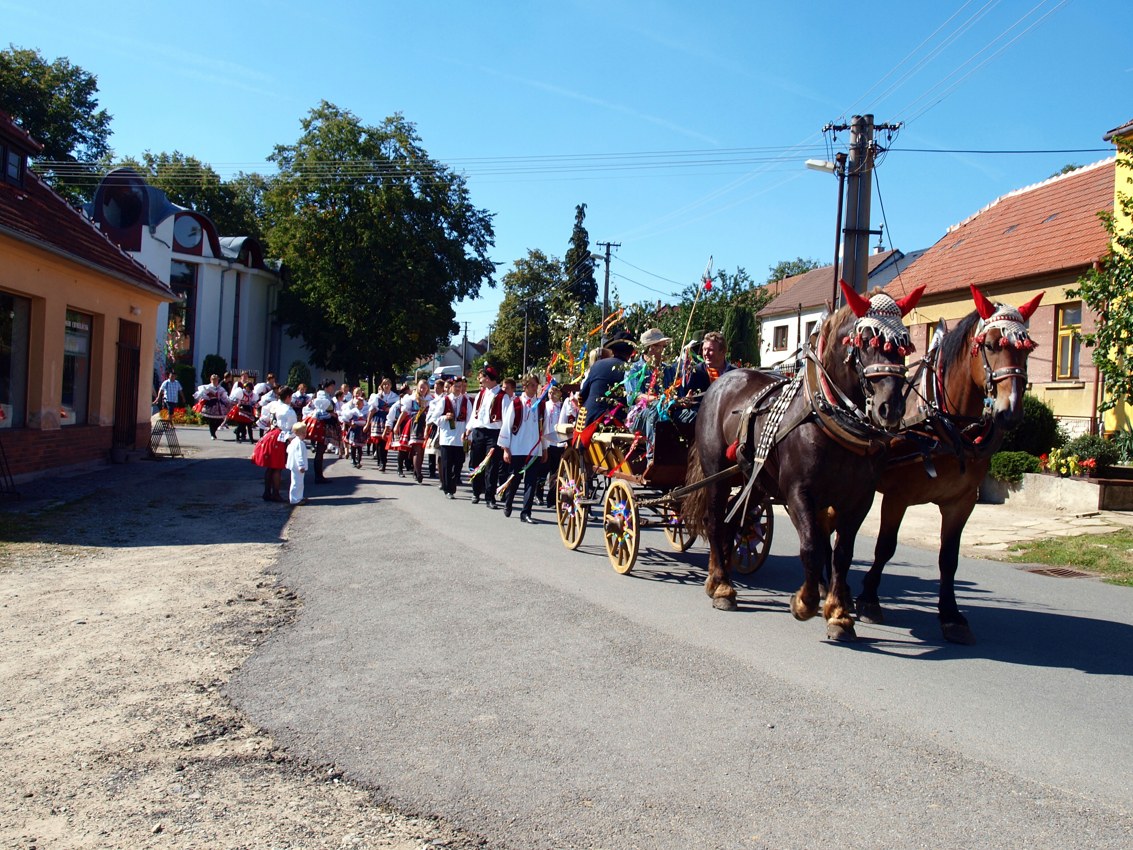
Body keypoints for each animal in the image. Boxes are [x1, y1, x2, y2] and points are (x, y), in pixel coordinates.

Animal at [682, 282, 923, 640]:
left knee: (731, 524)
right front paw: (805, 602)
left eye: (903, 343)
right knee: (714, 522)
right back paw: (723, 586)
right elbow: (811, 546)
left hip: (753, 480)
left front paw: (839, 614)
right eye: (866, 341)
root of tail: (720, 382)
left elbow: (841, 554)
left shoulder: (859, 499)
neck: (829, 418)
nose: (889, 408)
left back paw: (718, 576)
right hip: (717, 473)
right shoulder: (799, 492)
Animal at [856, 285, 1043, 644]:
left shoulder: (962, 501)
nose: (1010, 411)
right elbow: (885, 547)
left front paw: (951, 615)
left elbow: (949, 559)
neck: (943, 424)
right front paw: (869, 599)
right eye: (990, 344)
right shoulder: (897, 497)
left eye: (1026, 348)